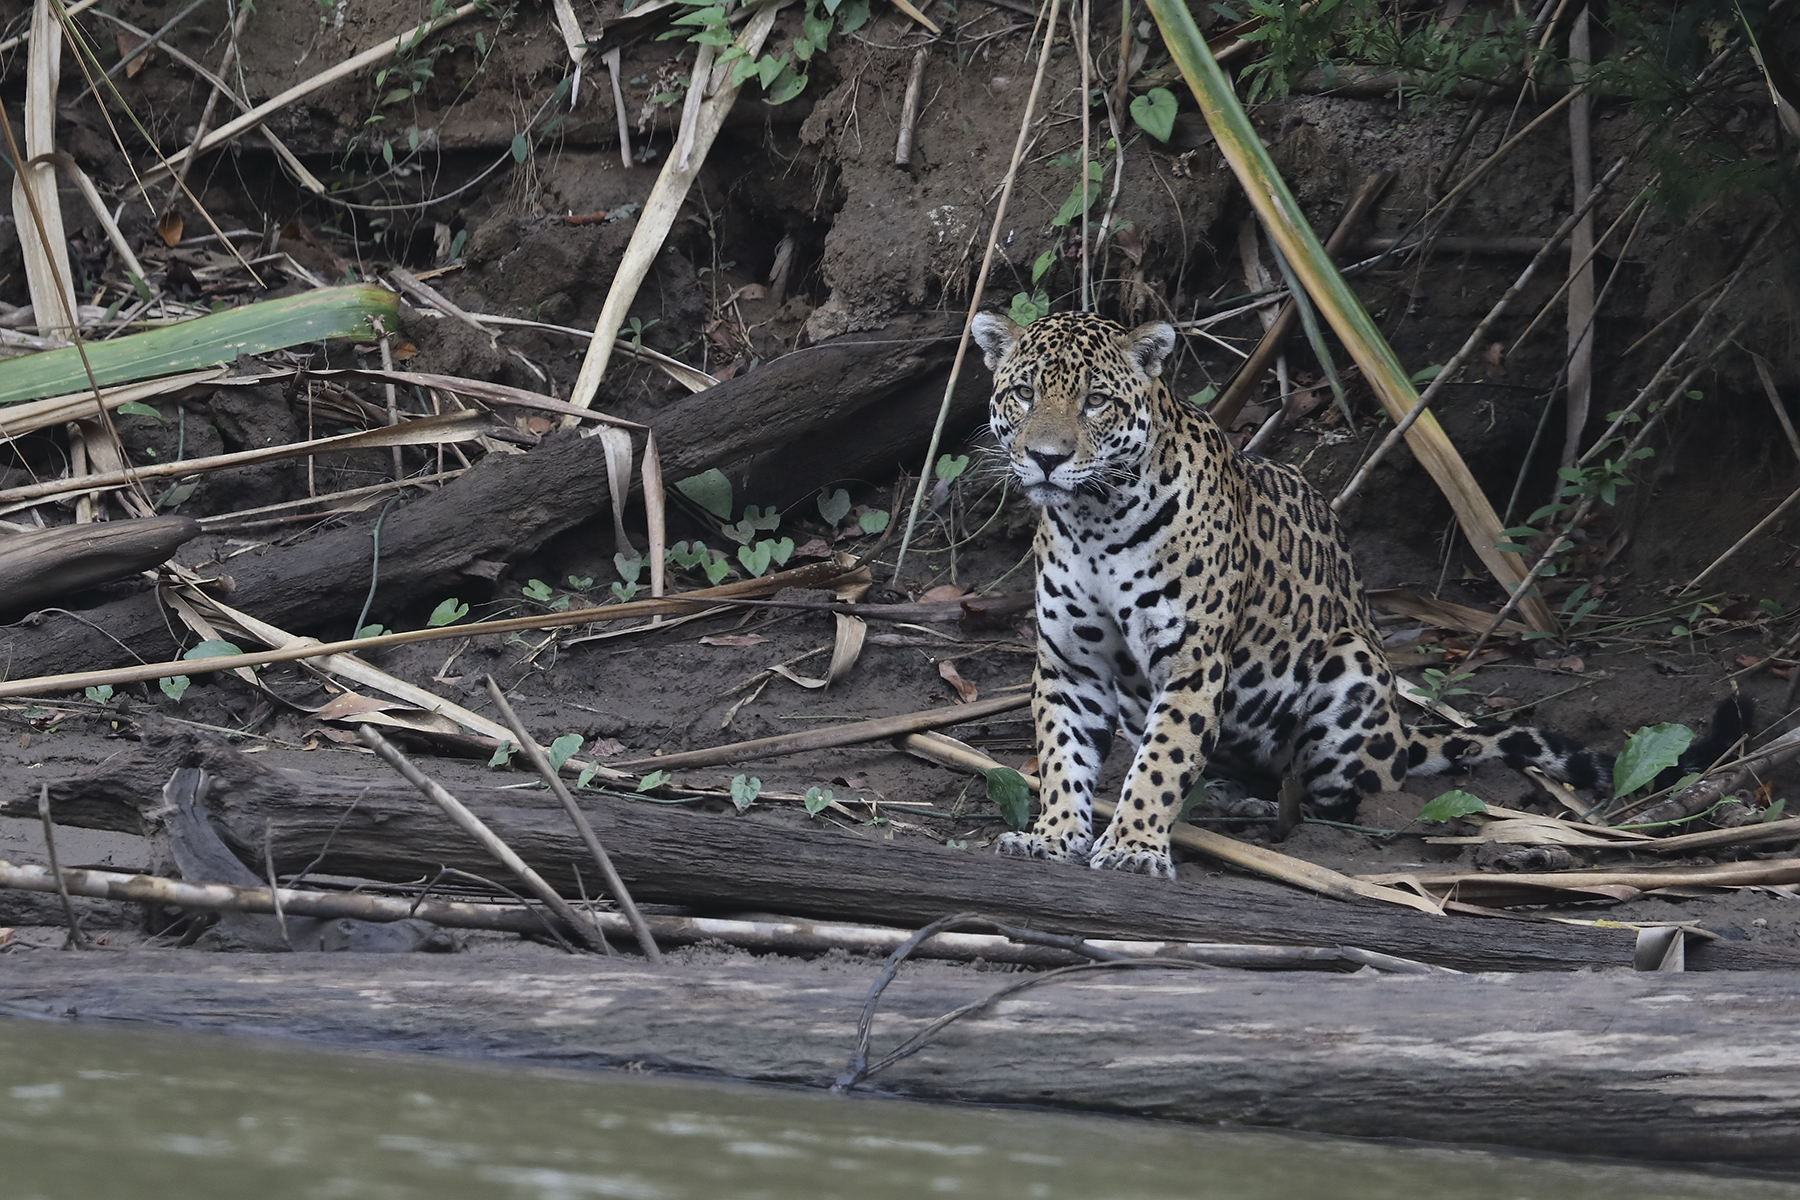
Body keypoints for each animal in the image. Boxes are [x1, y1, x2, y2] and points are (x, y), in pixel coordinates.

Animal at [970, 309, 1610, 880]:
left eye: (1096, 401)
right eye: (1024, 393)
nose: (1046, 458)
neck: (1094, 522)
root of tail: (1402, 734)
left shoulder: (1192, 663)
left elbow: (1161, 759)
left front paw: (1133, 844)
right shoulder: (1070, 665)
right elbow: (1062, 756)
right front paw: (1052, 835)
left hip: (1352, 671)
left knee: (1350, 798)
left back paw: (1280, 815)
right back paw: (1228, 798)